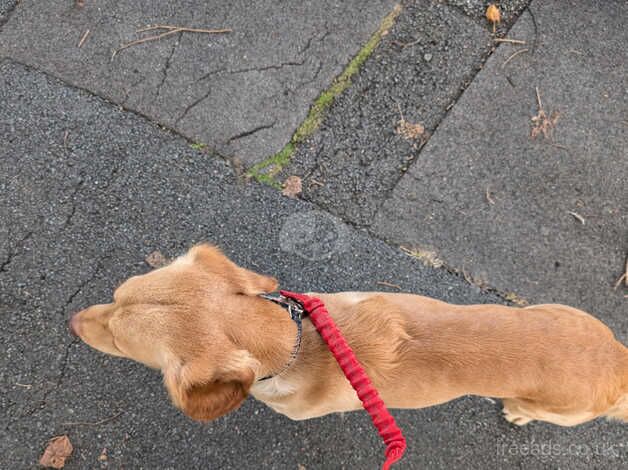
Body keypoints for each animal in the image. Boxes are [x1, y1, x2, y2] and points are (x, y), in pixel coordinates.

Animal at [70, 246, 628, 426]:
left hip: (556, 409)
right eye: (115, 296)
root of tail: (617, 362)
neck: (297, 342)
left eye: (119, 342)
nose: (72, 321)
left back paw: (518, 414)